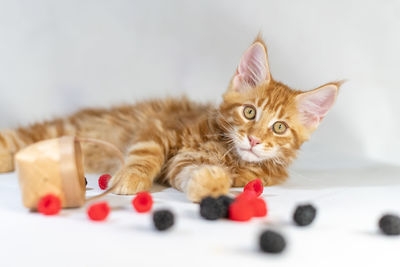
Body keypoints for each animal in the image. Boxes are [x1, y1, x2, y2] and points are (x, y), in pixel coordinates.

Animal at [0, 36, 340, 202]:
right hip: (63, 129)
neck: (226, 150)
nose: (255, 139)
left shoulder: (183, 164)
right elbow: (144, 153)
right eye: (249, 112)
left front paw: (210, 182)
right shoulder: (159, 127)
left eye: (279, 127)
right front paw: (130, 178)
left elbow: (194, 174)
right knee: (17, 138)